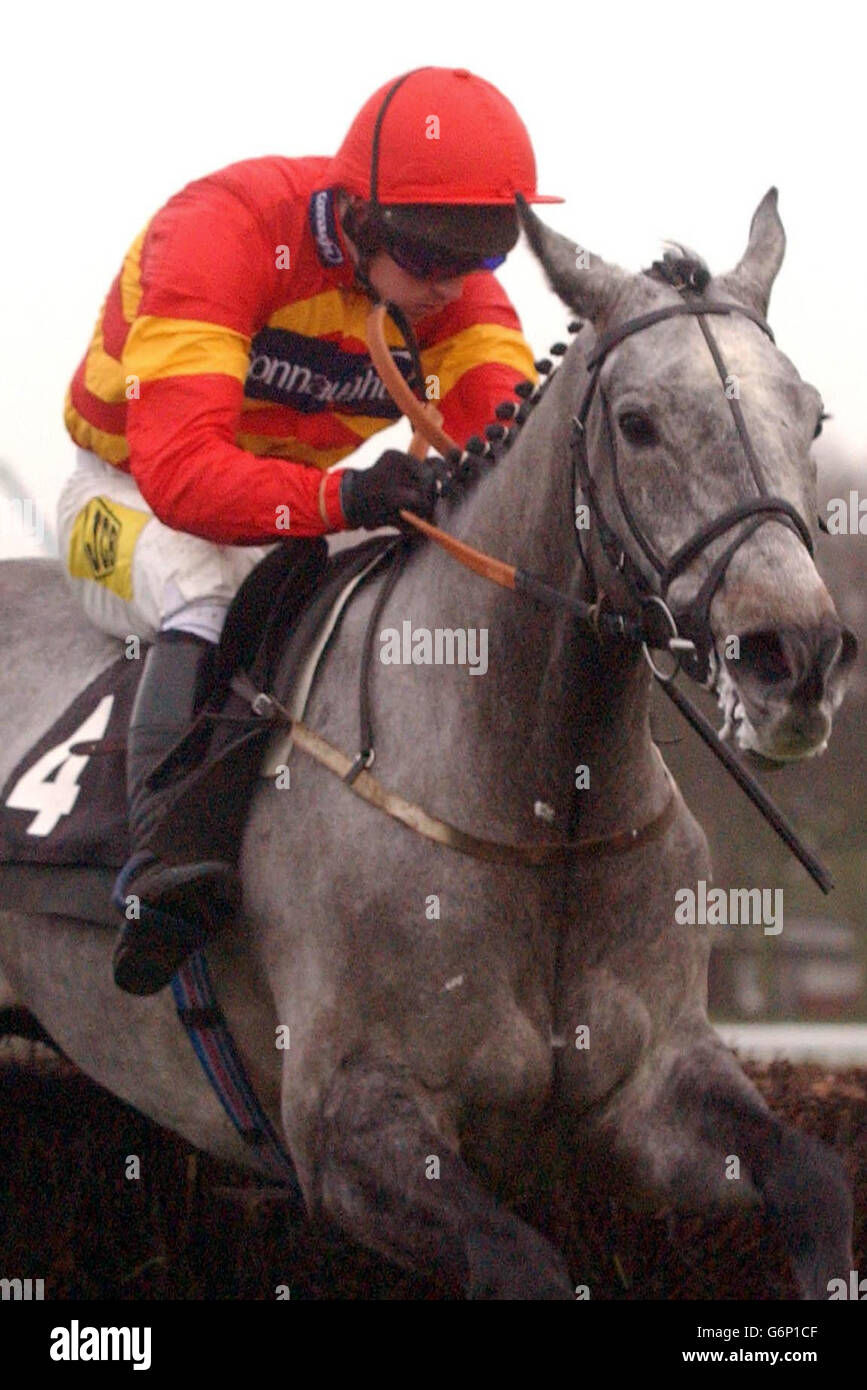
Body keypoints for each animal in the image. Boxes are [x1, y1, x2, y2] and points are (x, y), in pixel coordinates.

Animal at [0, 190, 855, 1295]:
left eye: (812, 415)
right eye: (638, 424)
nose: (795, 654)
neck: (541, 808)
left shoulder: (651, 1087)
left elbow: (813, 1179)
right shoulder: (350, 1126)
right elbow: (524, 1264)